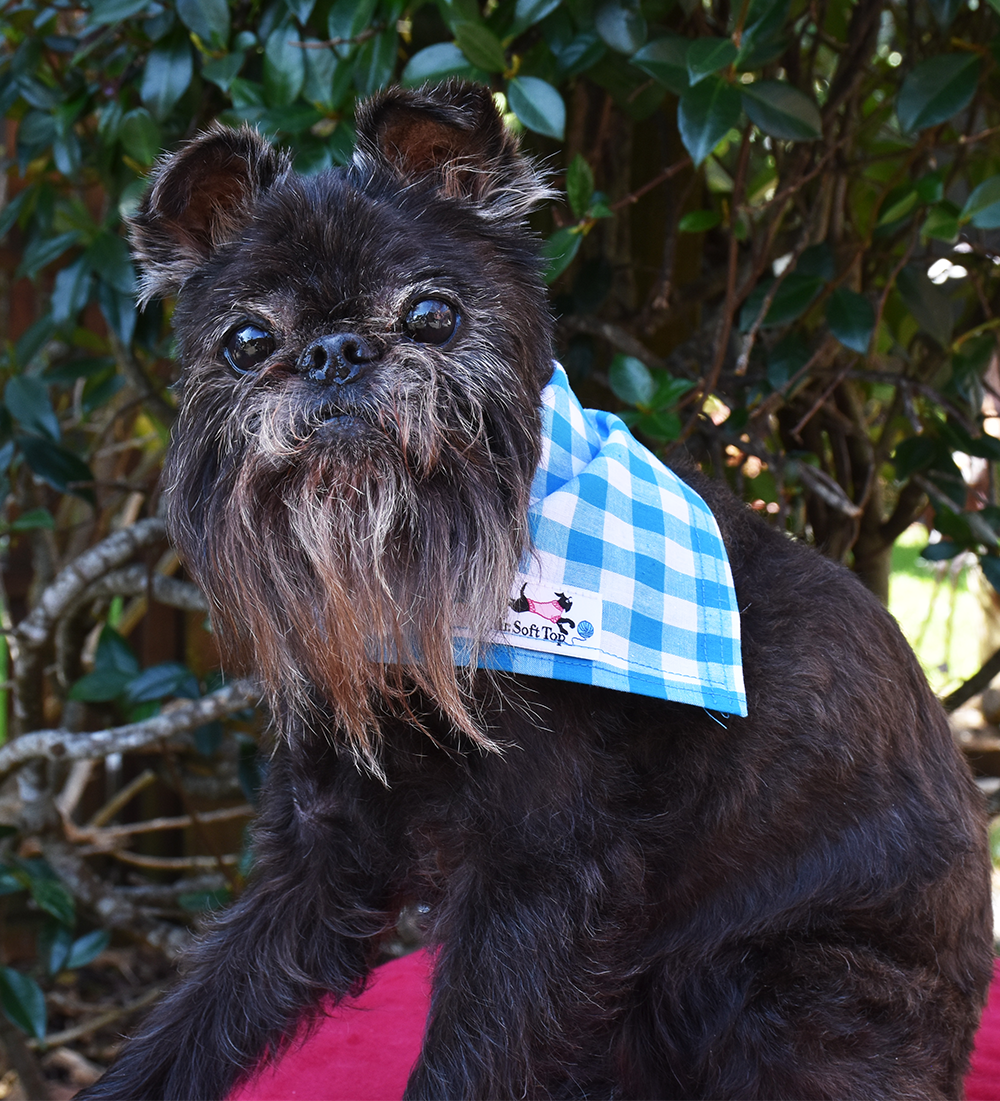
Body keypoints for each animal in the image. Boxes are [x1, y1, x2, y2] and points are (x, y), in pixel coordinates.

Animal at [82, 81, 995, 1096]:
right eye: (247, 341)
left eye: (433, 315)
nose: (334, 351)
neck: (414, 606)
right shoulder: (321, 861)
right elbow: (192, 1025)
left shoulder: (539, 877)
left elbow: (464, 1058)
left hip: (764, 984)